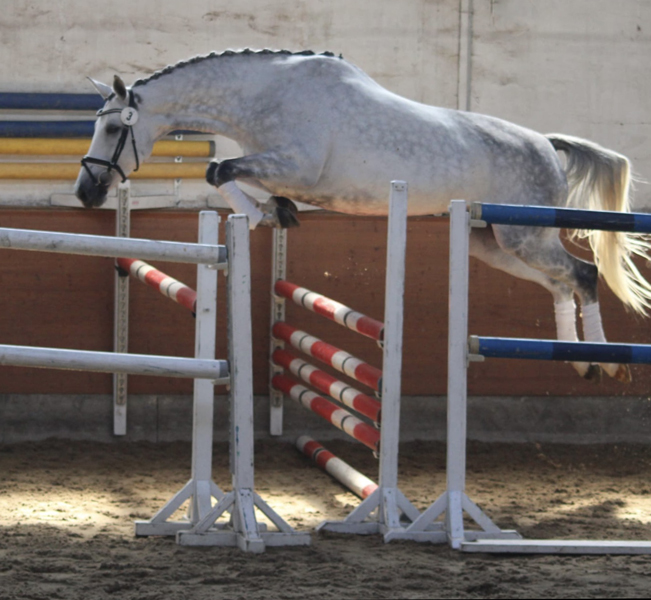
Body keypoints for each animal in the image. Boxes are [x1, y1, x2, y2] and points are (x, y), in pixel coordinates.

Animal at [74, 49, 648, 382]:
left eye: (112, 129)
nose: (85, 191)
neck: (264, 95)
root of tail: (546, 144)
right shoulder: (282, 169)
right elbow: (233, 174)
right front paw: (274, 213)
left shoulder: (299, 167)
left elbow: (219, 169)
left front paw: (262, 215)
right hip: (493, 243)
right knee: (559, 284)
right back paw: (577, 359)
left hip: (523, 233)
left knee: (584, 274)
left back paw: (604, 362)